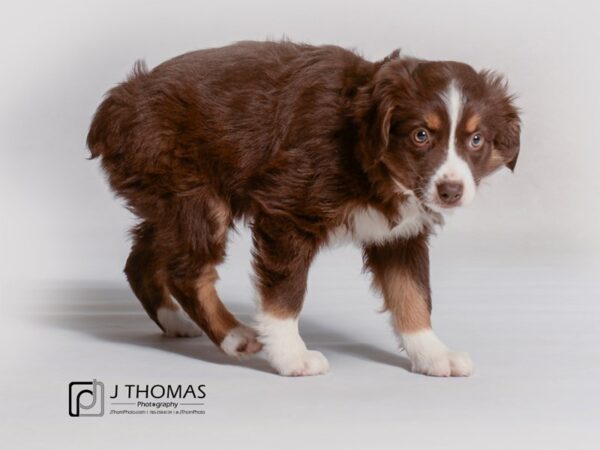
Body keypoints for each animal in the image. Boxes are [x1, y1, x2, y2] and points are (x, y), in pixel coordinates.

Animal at [88, 40, 520, 376]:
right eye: (421, 135)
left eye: (476, 140)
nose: (451, 191)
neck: (366, 151)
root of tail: (116, 103)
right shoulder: (287, 212)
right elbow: (286, 293)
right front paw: (291, 357)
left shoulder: (400, 236)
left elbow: (413, 295)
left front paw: (433, 354)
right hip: (197, 198)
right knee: (187, 271)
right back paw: (234, 337)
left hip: (168, 202)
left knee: (141, 258)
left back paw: (175, 321)